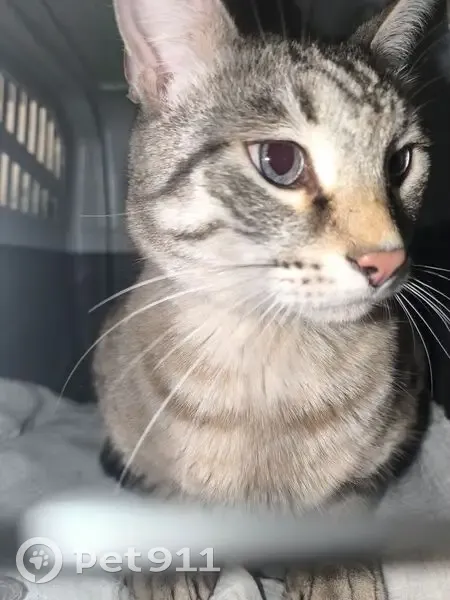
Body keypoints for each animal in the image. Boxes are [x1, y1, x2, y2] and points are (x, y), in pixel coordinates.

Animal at [94, 0, 438, 598]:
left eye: (400, 162)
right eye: (280, 160)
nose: (388, 260)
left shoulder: (393, 433)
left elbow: (346, 493)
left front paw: (332, 564)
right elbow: (162, 485)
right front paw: (166, 560)